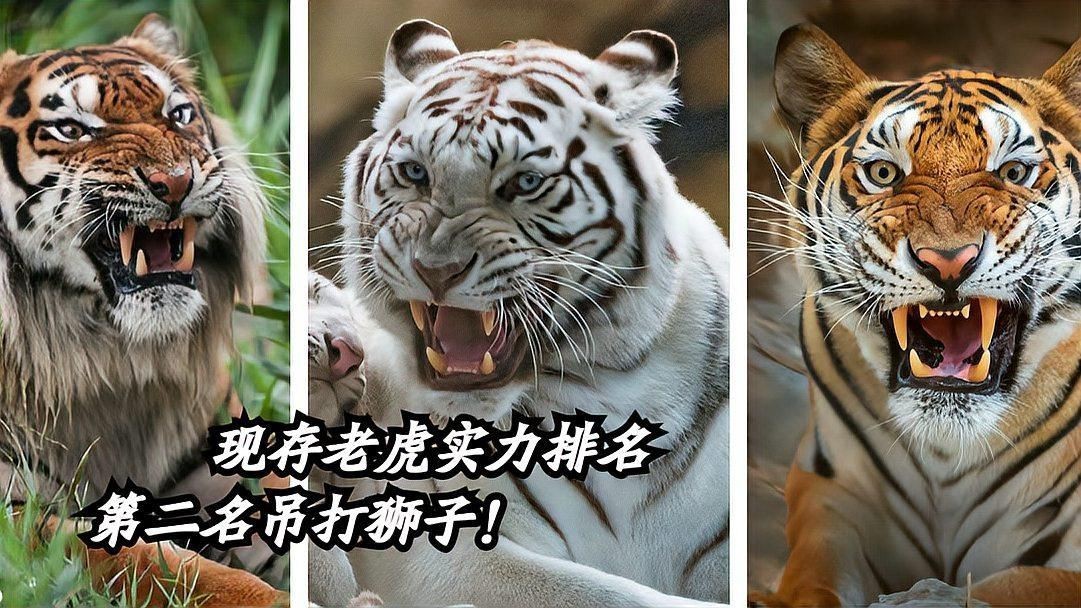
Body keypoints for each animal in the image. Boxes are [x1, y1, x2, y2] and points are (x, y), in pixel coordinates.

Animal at [0, 15, 284, 606]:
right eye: (71, 129)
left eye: (178, 115)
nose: (176, 181)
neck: (114, 363)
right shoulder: (17, 515)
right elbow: (158, 563)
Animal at [307, 19, 730, 608]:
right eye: (415, 173)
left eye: (526, 183)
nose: (436, 268)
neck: (612, 389)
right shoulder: (434, 552)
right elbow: (603, 593)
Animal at [751, 24, 1081, 607]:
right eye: (884, 173)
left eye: (1014, 171)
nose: (946, 260)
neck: (948, 453)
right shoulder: (834, 500)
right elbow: (814, 580)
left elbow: (1012, 585)